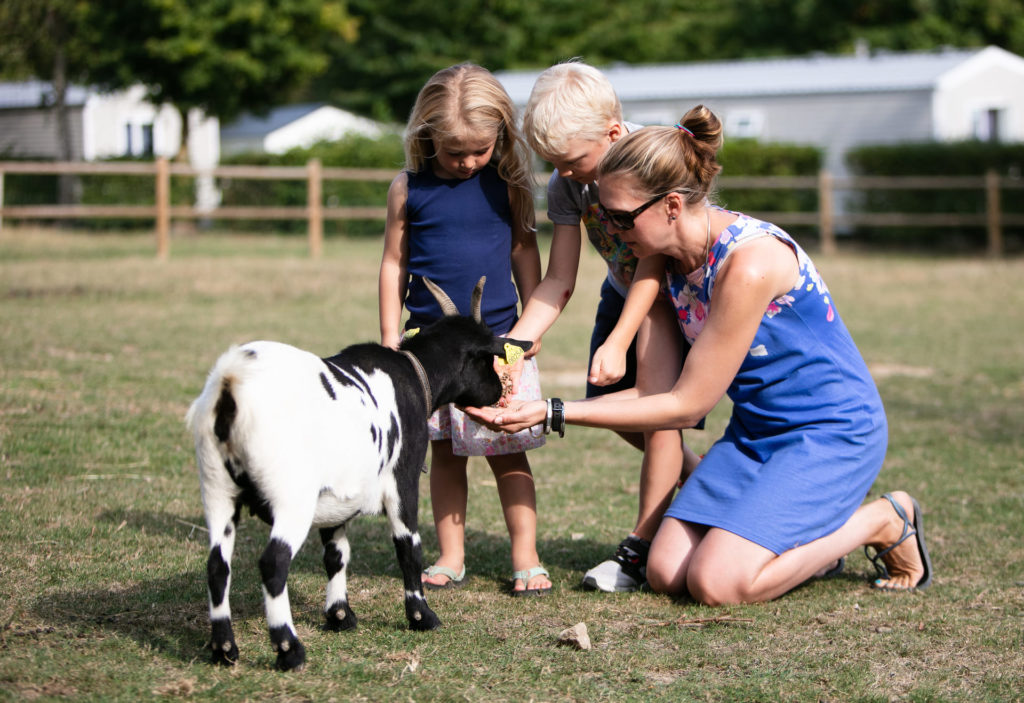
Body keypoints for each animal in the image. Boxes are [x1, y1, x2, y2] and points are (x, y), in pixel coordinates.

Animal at [185, 274, 532, 671]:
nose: (498, 391)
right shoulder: (402, 480)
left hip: (217, 490)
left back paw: (223, 648)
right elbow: (408, 546)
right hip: (291, 497)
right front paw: (421, 617)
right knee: (273, 564)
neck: (414, 373)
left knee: (217, 565)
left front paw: (340, 616)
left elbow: (336, 553)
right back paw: (289, 649)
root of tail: (231, 383)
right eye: (487, 358)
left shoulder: (336, 495)